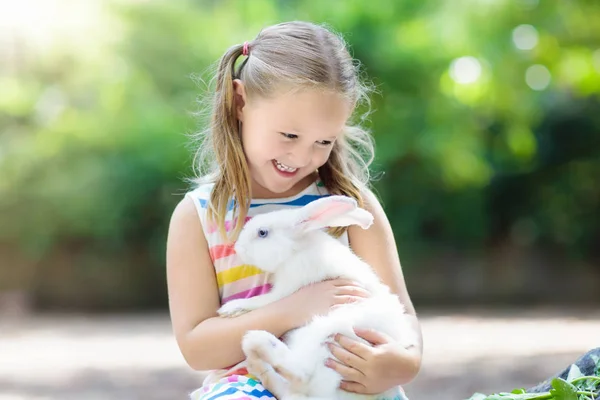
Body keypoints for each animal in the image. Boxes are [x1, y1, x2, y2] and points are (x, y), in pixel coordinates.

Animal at [218, 195, 420, 398]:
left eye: (262, 232)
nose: (238, 248)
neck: (296, 250)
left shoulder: (287, 288)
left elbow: (263, 302)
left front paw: (230, 308)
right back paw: (256, 362)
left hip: (326, 338)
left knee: (300, 374)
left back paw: (256, 340)